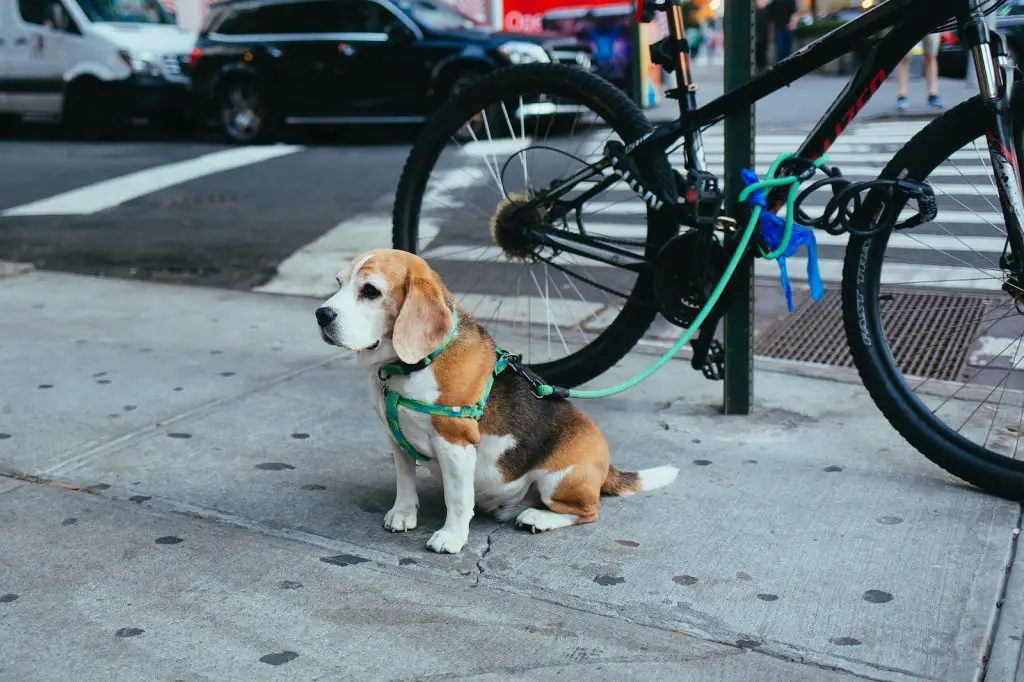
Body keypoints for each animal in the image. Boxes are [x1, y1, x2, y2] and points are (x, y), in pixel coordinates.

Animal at [311, 249, 679, 552]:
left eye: (370, 291)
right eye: (339, 282)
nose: (321, 314)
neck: (411, 366)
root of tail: (607, 466)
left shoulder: (455, 444)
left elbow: (458, 498)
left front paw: (451, 537)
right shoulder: (395, 436)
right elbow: (405, 480)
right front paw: (403, 513)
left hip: (558, 479)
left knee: (588, 512)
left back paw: (538, 518)